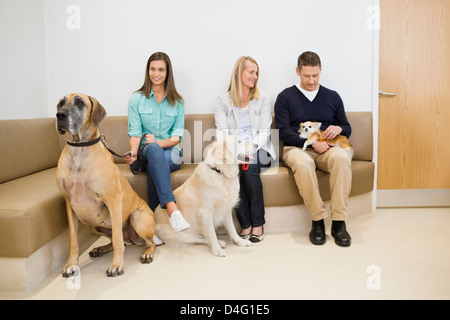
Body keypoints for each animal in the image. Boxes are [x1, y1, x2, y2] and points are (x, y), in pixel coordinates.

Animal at [55, 93, 156, 278]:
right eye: (61, 103)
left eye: (80, 102)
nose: (60, 115)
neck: (79, 150)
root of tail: (133, 240)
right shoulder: (69, 205)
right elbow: (73, 240)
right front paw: (71, 265)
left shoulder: (113, 201)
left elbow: (117, 239)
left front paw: (116, 265)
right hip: (93, 225)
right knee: (121, 241)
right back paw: (100, 248)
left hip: (137, 217)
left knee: (147, 242)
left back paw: (147, 253)